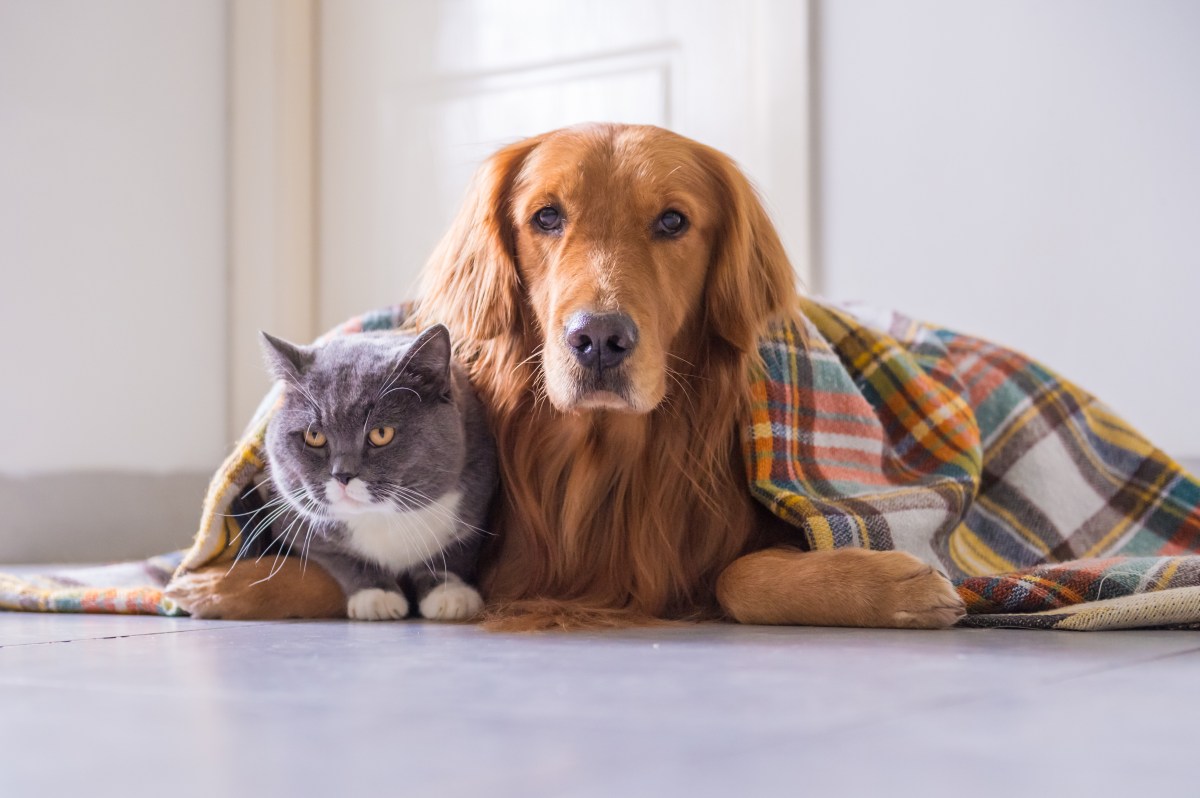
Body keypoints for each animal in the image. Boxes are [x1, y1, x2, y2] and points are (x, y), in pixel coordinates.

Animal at [250, 326, 499, 624]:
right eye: (314, 436)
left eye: (381, 434)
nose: (342, 475)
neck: (382, 517)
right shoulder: (293, 522)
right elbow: (343, 558)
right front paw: (377, 596)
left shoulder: (477, 499)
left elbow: (455, 552)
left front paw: (450, 594)